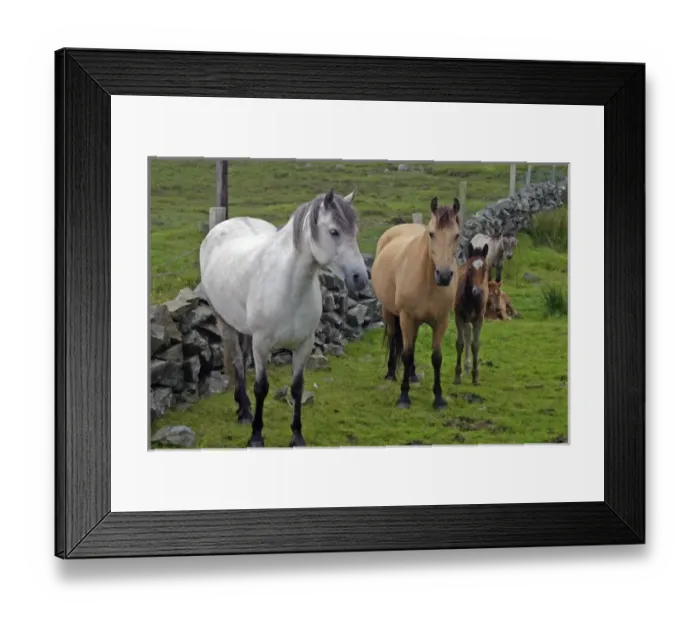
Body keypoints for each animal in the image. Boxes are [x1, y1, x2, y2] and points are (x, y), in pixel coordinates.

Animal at [198, 188, 368, 448]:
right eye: (334, 231)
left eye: (355, 232)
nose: (361, 278)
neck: (289, 287)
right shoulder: (262, 344)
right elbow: (261, 387)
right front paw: (256, 436)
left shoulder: (304, 344)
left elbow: (297, 388)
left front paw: (297, 436)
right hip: (224, 321)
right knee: (237, 360)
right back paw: (244, 411)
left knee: (242, 359)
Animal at [371, 196, 462, 410]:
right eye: (431, 234)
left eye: (456, 235)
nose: (444, 275)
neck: (427, 280)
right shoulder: (406, 317)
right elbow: (406, 353)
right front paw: (404, 397)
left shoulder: (441, 321)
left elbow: (436, 357)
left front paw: (439, 398)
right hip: (390, 312)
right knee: (394, 337)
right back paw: (390, 373)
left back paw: (412, 375)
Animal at [453, 241, 490, 385]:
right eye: (470, 268)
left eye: (485, 268)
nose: (478, 291)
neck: (471, 299)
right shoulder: (458, 317)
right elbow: (460, 343)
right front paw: (457, 376)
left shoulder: (479, 319)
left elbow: (475, 345)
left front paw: (475, 376)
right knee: (467, 334)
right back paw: (466, 367)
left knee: (469, 335)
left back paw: (469, 368)